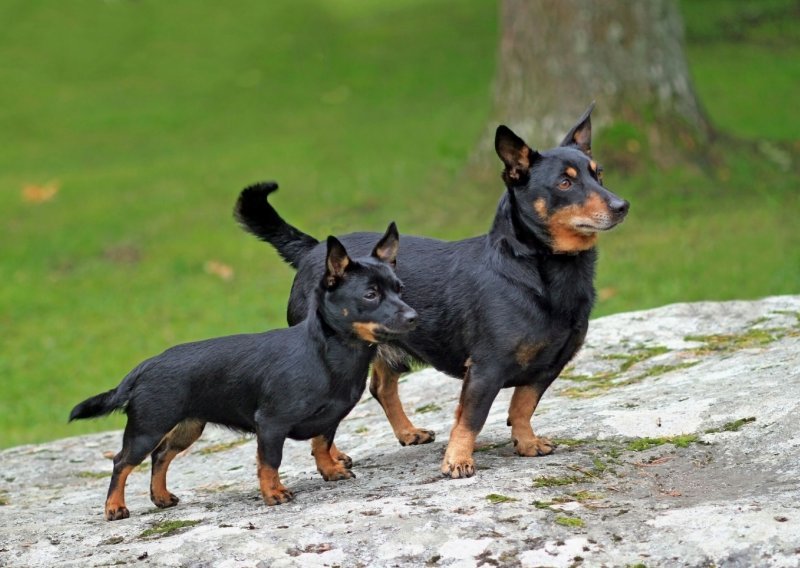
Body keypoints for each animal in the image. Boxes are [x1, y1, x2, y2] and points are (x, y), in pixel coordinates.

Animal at [69, 224, 416, 520]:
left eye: (400, 289)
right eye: (370, 294)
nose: (413, 316)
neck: (328, 354)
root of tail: (144, 366)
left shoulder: (330, 419)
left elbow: (321, 444)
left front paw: (330, 471)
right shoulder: (271, 424)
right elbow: (270, 462)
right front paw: (273, 493)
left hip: (187, 428)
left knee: (161, 456)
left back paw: (161, 497)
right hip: (148, 429)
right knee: (122, 462)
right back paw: (114, 507)